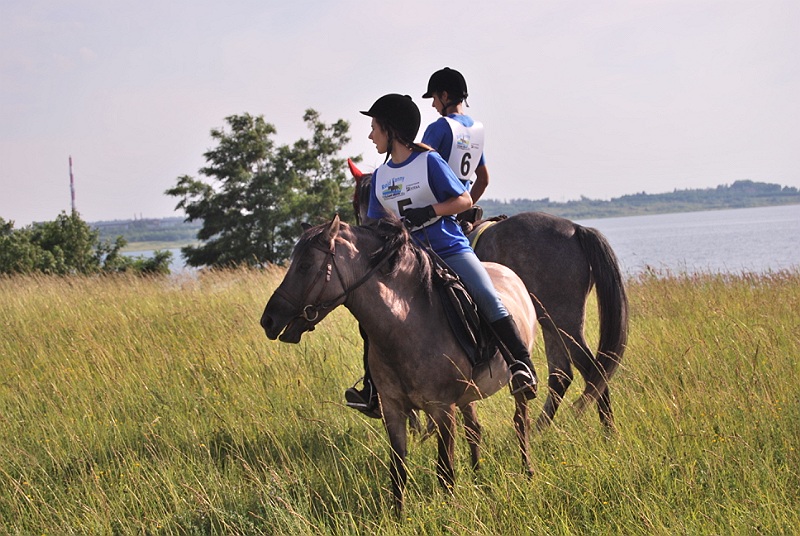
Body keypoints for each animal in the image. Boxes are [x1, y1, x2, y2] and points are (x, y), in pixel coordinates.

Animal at [260, 215, 537, 512]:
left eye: (305, 265)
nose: (268, 320)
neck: (407, 324)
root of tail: (509, 274)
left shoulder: (443, 409)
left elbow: (445, 471)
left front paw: (450, 511)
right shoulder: (393, 409)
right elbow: (398, 470)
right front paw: (398, 515)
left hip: (514, 387)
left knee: (520, 422)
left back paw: (527, 471)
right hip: (467, 394)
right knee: (474, 429)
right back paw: (478, 478)